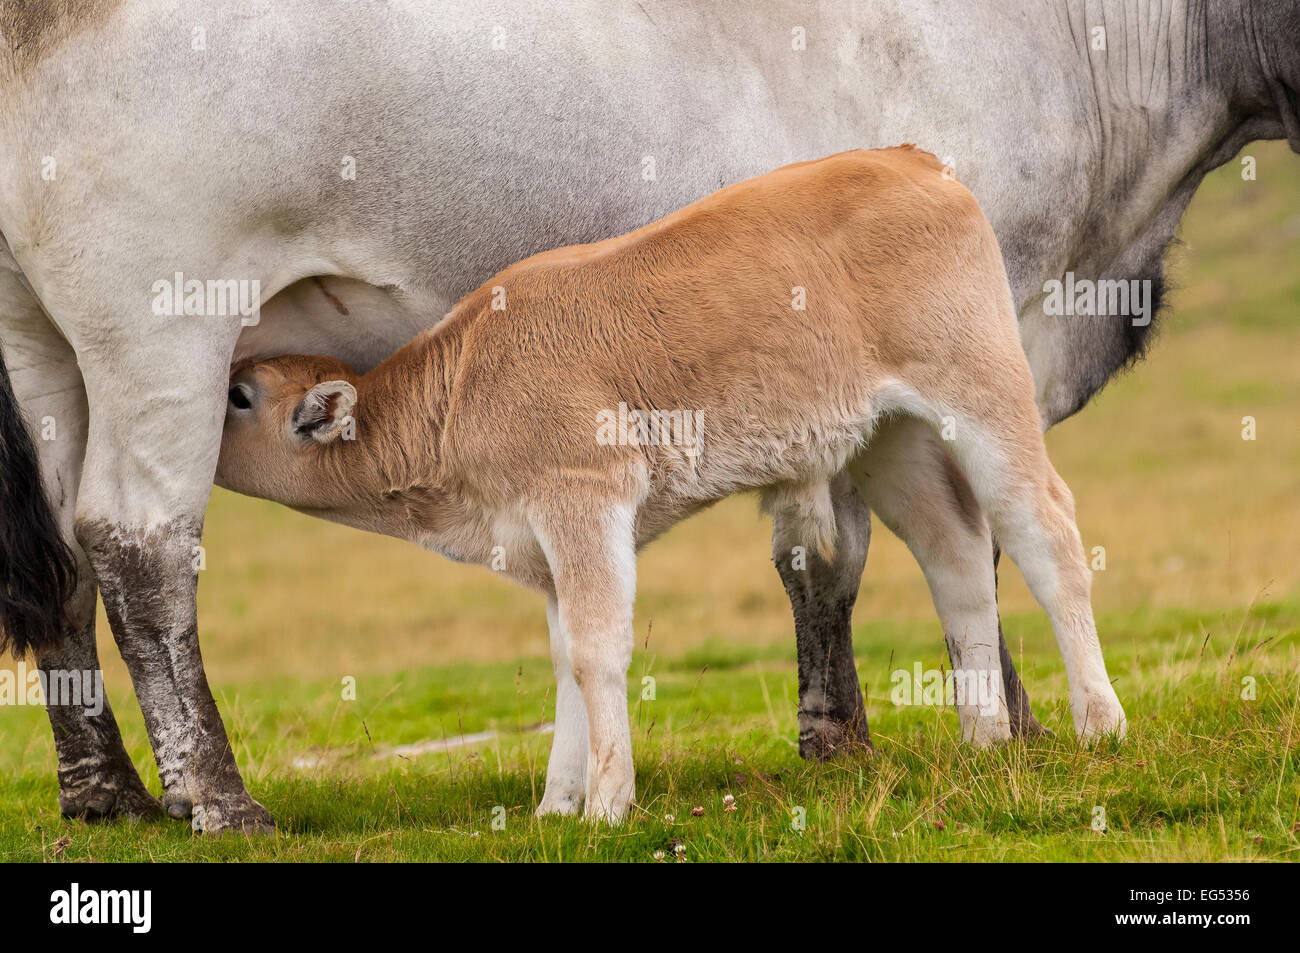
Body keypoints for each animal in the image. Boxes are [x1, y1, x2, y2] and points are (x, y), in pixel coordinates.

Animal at [218, 144, 1123, 821]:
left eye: (239, 396)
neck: (464, 384)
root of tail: (907, 157)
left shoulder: (583, 498)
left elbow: (597, 651)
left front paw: (608, 803)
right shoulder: (545, 541)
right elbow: (566, 657)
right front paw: (556, 804)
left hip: (983, 395)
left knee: (1046, 534)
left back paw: (1100, 722)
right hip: (890, 437)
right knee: (958, 559)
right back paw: (985, 740)